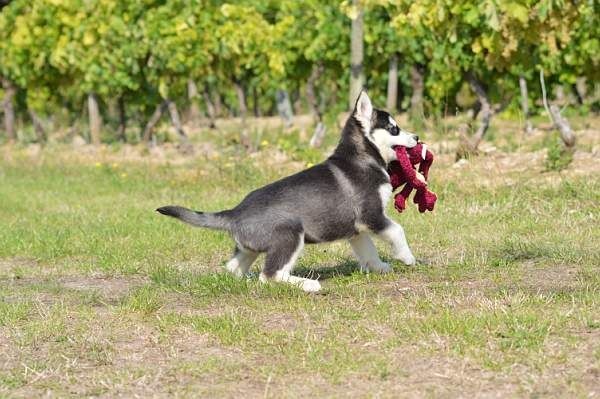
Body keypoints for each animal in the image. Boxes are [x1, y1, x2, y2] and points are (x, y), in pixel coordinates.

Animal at [158, 92, 418, 292]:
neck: (362, 157)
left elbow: (368, 250)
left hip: (248, 249)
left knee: (233, 269)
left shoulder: (357, 228)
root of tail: (234, 212)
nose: (416, 136)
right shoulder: (371, 215)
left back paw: (243, 280)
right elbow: (398, 230)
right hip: (290, 234)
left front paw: (380, 267)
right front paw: (407, 257)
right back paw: (308, 285)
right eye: (394, 129)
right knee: (270, 275)